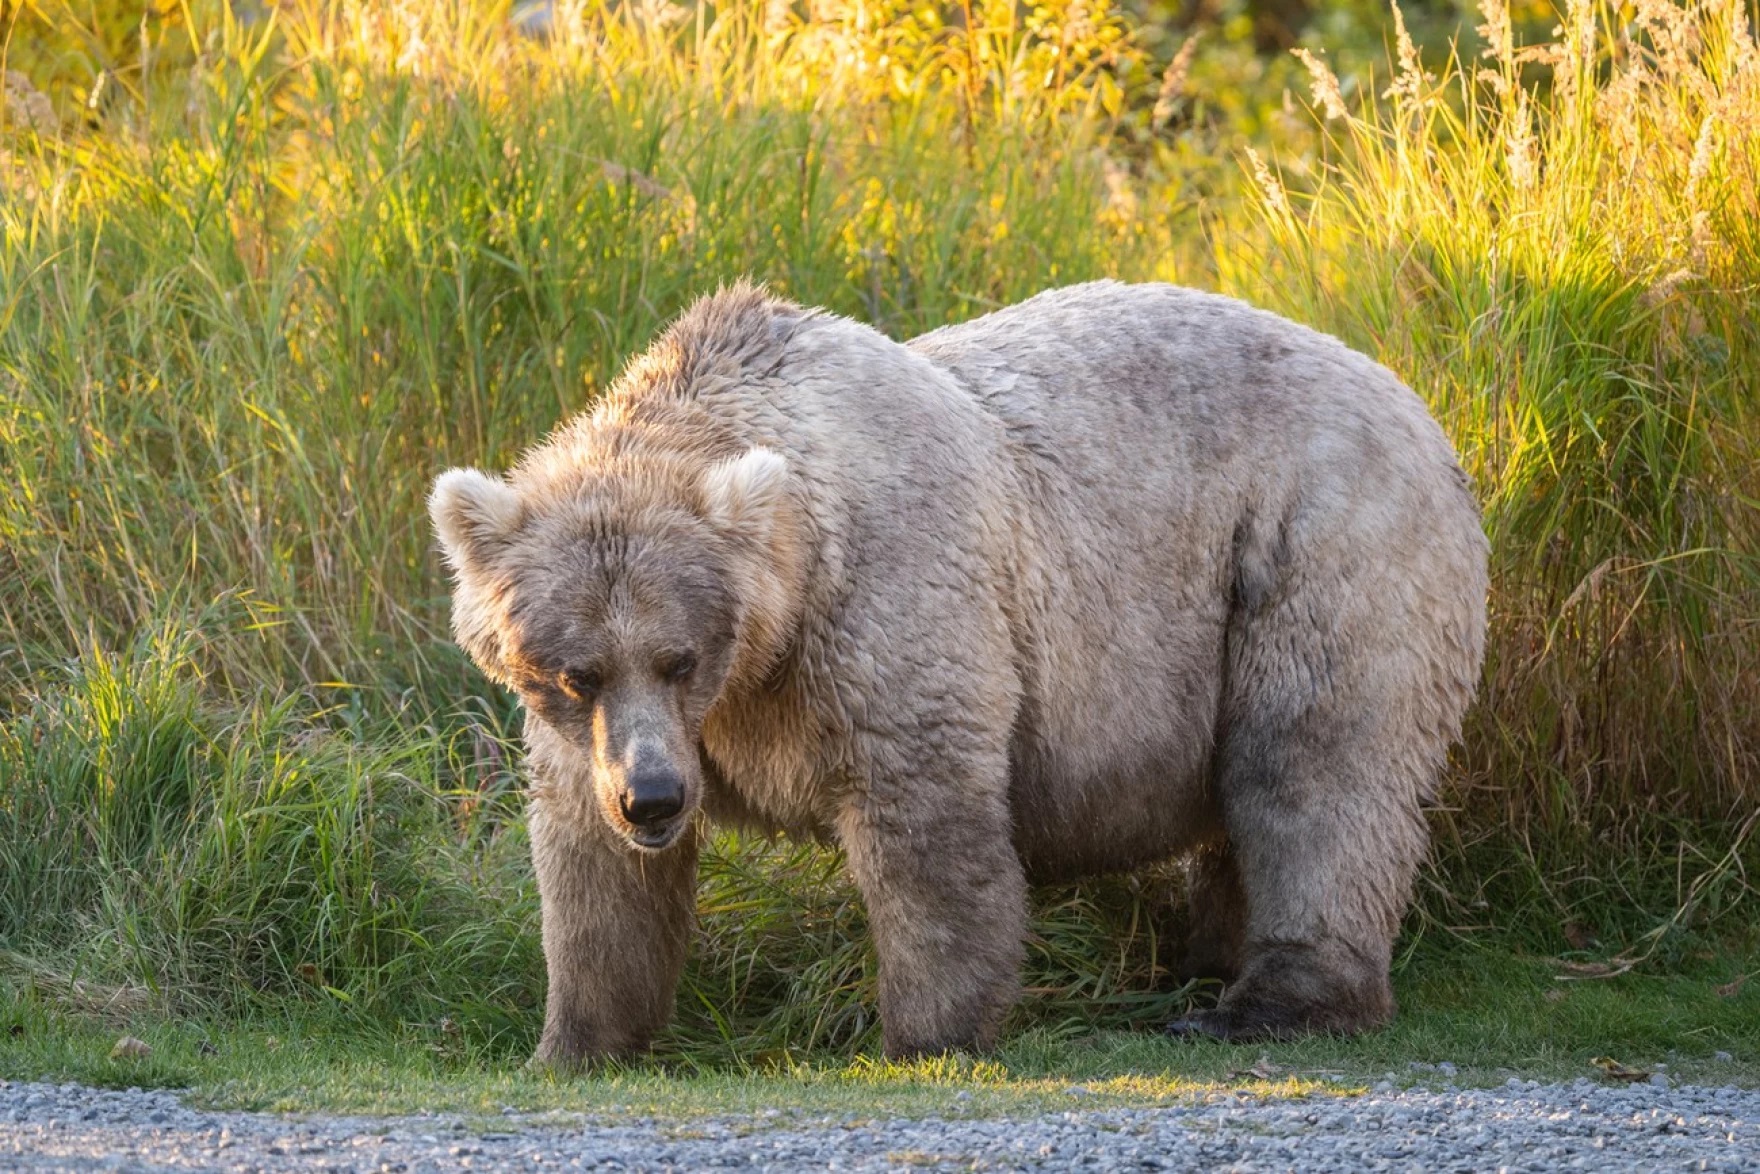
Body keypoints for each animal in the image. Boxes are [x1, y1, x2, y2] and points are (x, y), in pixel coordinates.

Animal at [425, 278, 1485, 1063]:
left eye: (680, 657)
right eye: (575, 671)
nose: (652, 797)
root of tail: (1416, 400)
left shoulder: (887, 605)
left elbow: (924, 821)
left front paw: (926, 1032)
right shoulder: (608, 739)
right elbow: (594, 875)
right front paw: (573, 1042)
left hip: (1313, 546)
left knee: (1314, 769)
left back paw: (1261, 1001)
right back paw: (1204, 962)